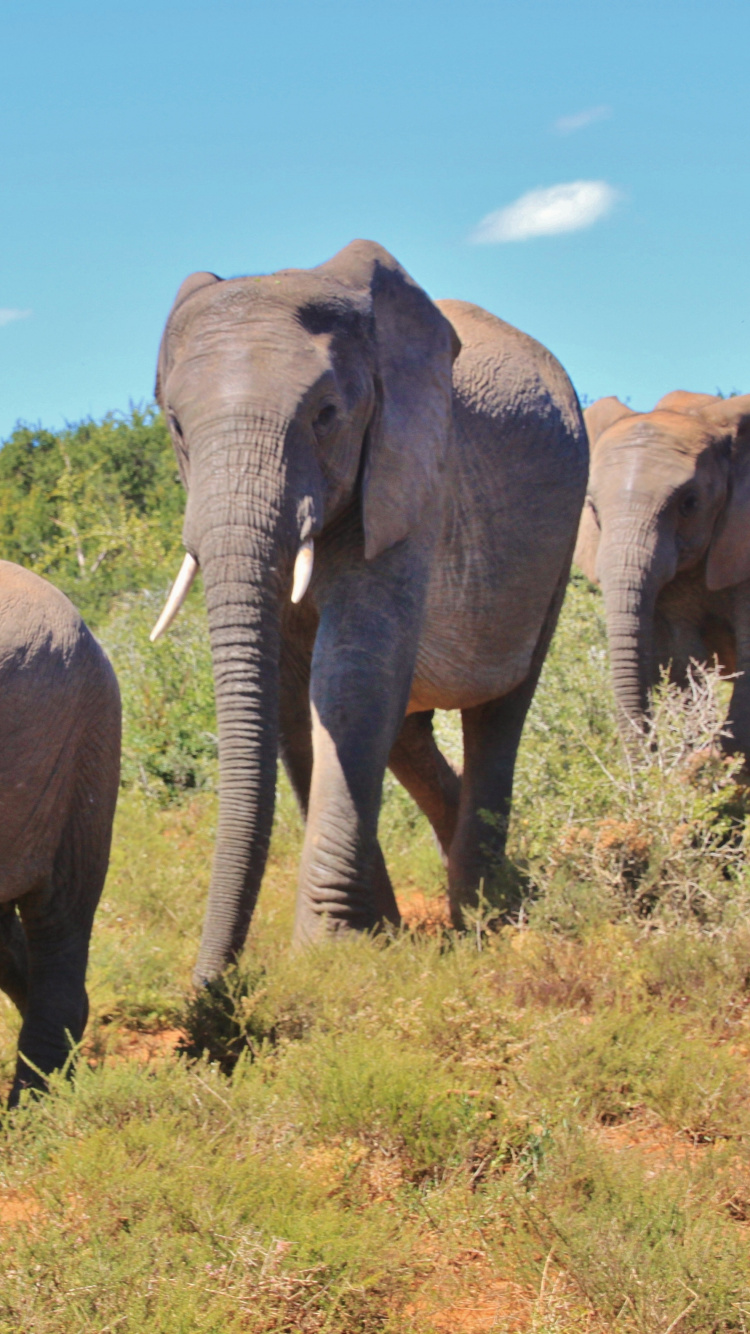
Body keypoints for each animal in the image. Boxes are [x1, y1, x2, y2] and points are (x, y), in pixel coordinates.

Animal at [151, 239, 588, 983]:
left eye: (327, 414)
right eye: (177, 425)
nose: (210, 989)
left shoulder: (408, 472)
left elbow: (352, 673)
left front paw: (332, 952)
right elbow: (293, 695)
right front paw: (375, 936)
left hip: (558, 536)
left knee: (501, 708)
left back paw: (486, 912)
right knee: (409, 731)